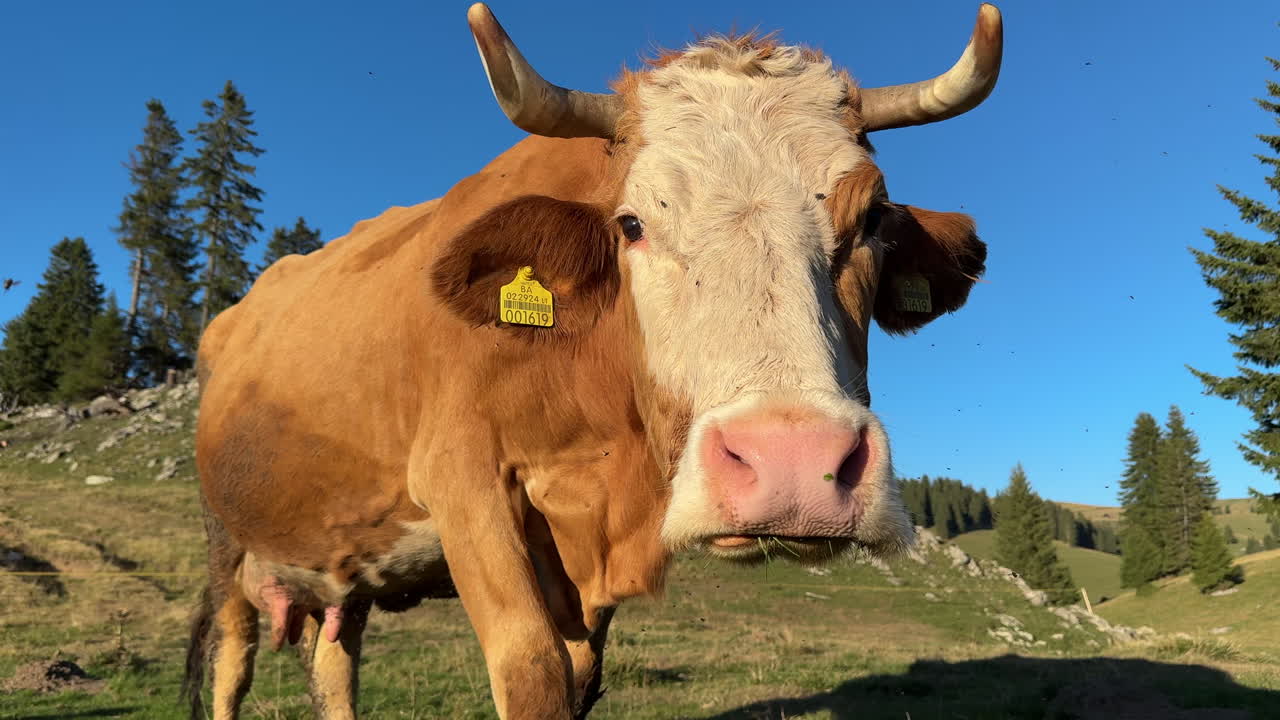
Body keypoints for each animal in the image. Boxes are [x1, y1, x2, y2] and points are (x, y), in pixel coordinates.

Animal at [181, 3, 1003, 719]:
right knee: (230, 662)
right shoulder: (462, 481)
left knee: (332, 664)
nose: (793, 464)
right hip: (227, 540)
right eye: (630, 223)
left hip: (339, 556)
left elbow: (580, 671)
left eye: (871, 219)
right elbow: (533, 667)